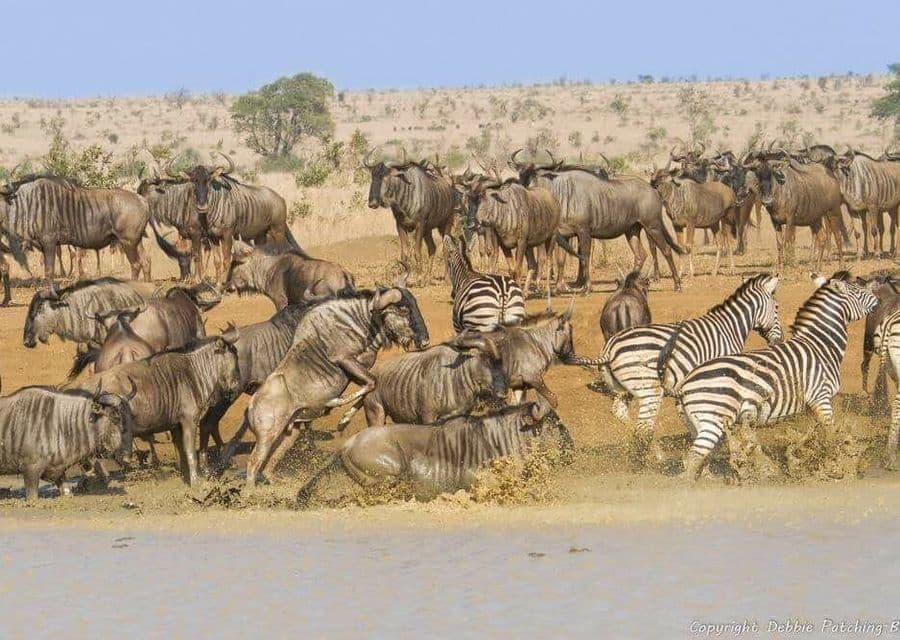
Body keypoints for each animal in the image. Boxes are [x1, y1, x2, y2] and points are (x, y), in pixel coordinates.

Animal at [593, 274, 783, 462]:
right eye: (777, 308)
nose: (779, 340)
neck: (729, 329)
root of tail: (610, 348)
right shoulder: (722, 373)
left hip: (625, 388)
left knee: (621, 412)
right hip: (649, 388)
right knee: (643, 427)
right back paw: (655, 457)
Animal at [676, 275, 879, 480]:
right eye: (858, 291)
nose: (878, 301)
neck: (820, 345)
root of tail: (685, 385)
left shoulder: (810, 405)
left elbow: (810, 433)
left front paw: (798, 458)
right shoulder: (820, 396)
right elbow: (831, 432)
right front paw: (836, 465)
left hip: (697, 423)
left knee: (695, 458)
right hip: (713, 420)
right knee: (694, 457)